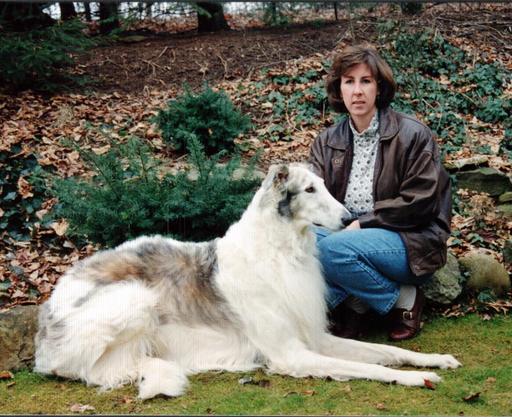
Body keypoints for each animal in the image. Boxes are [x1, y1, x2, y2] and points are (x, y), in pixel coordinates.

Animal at [34, 164, 461, 400]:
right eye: (309, 189)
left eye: (324, 185)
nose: (348, 218)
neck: (280, 251)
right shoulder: (291, 353)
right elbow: (374, 368)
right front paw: (418, 378)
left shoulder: (313, 337)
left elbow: (386, 352)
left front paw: (434, 359)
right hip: (134, 299)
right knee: (94, 371)